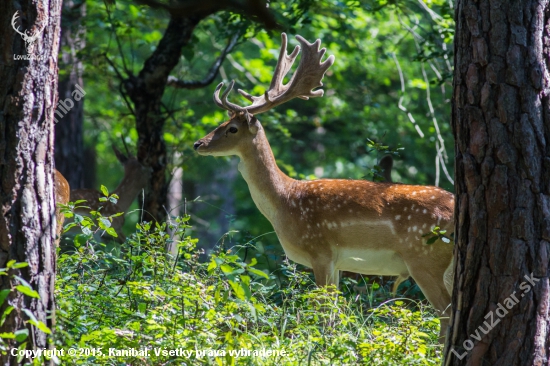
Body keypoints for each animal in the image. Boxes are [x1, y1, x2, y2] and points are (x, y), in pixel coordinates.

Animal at [196, 33, 454, 338]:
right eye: (222, 122)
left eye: (231, 129)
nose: (198, 144)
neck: (284, 201)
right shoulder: (337, 263)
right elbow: (333, 315)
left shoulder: (320, 250)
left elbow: (322, 315)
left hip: (426, 258)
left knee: (446, 313)